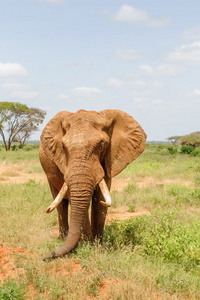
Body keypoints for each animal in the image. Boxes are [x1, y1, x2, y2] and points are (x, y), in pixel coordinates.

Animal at [39, 109, 146, 258]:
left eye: (101, 146)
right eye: (63, 148)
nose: (46, 257)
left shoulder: (108, 161)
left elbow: (100, 200)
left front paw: (97, 245)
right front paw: (87, 244)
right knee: (60, 203)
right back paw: (63, 237)